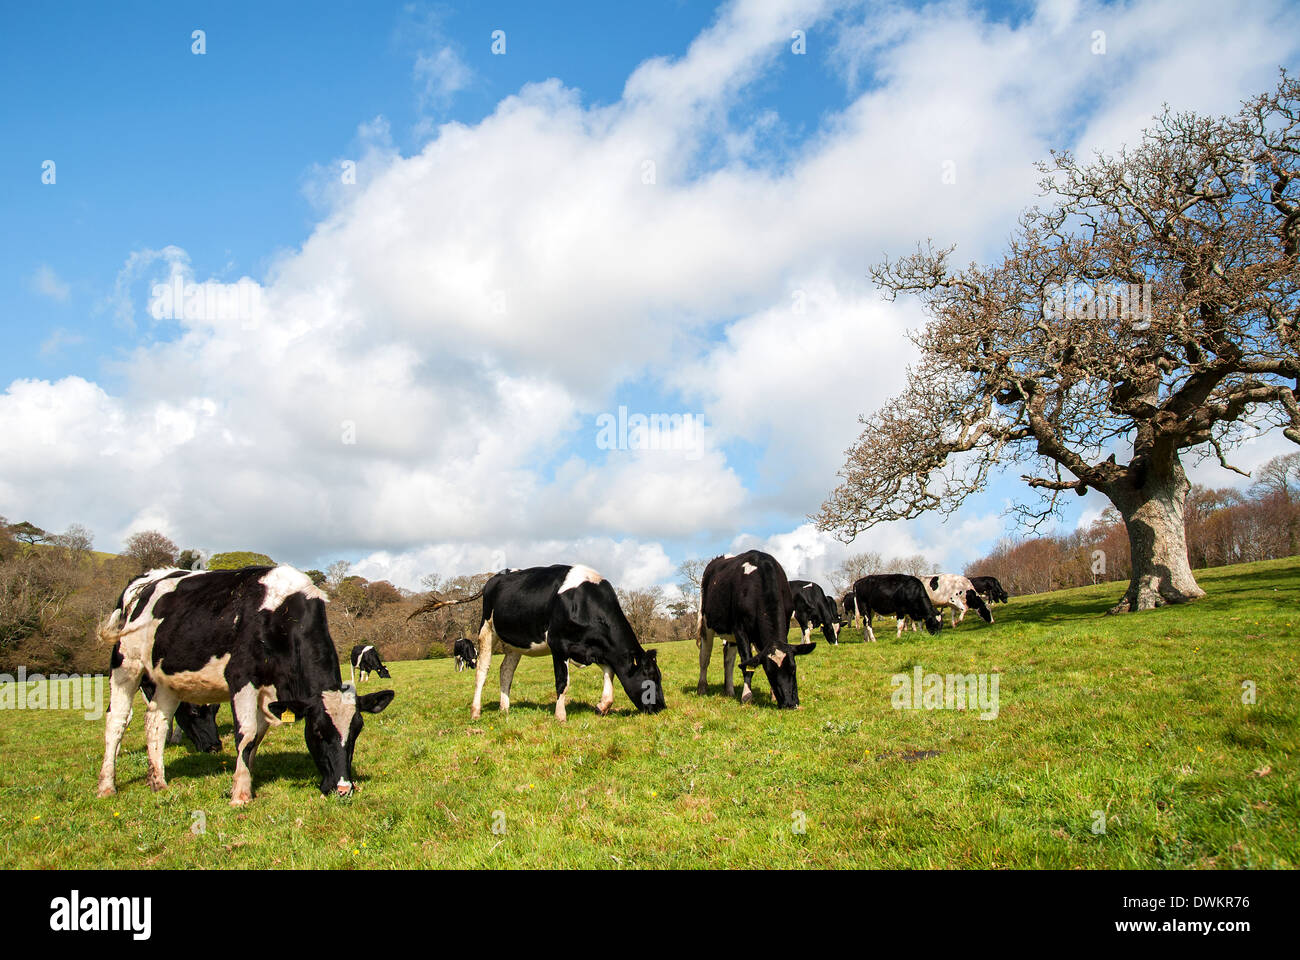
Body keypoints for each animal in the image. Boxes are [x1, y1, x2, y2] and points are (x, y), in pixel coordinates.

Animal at [96, 564, 392, 806]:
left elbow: (256, 736)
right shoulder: (241, 678)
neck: (281, 617)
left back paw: (158, 781)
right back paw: (107, 786)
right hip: (126, 665)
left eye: (357, 731)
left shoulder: (268, 694)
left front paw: (246, 778)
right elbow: (246, 732)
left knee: (157, 723)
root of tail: (143, 580)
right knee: (117, 721)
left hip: (167, 681)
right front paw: (240, 794)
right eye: (317, 732)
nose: (343, 788)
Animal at [408, 561, 665, 718]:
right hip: (486, 629)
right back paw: (476, 710)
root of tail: (498, 576)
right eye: (651, 676)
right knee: (482, 670)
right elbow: (562, 682)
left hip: (514, 643)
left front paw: (603, 705)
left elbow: (609, 673)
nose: (662, 707)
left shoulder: (592, 649)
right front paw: (560, 715)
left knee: (505, 671)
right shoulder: (559, 645)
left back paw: (504, 709)